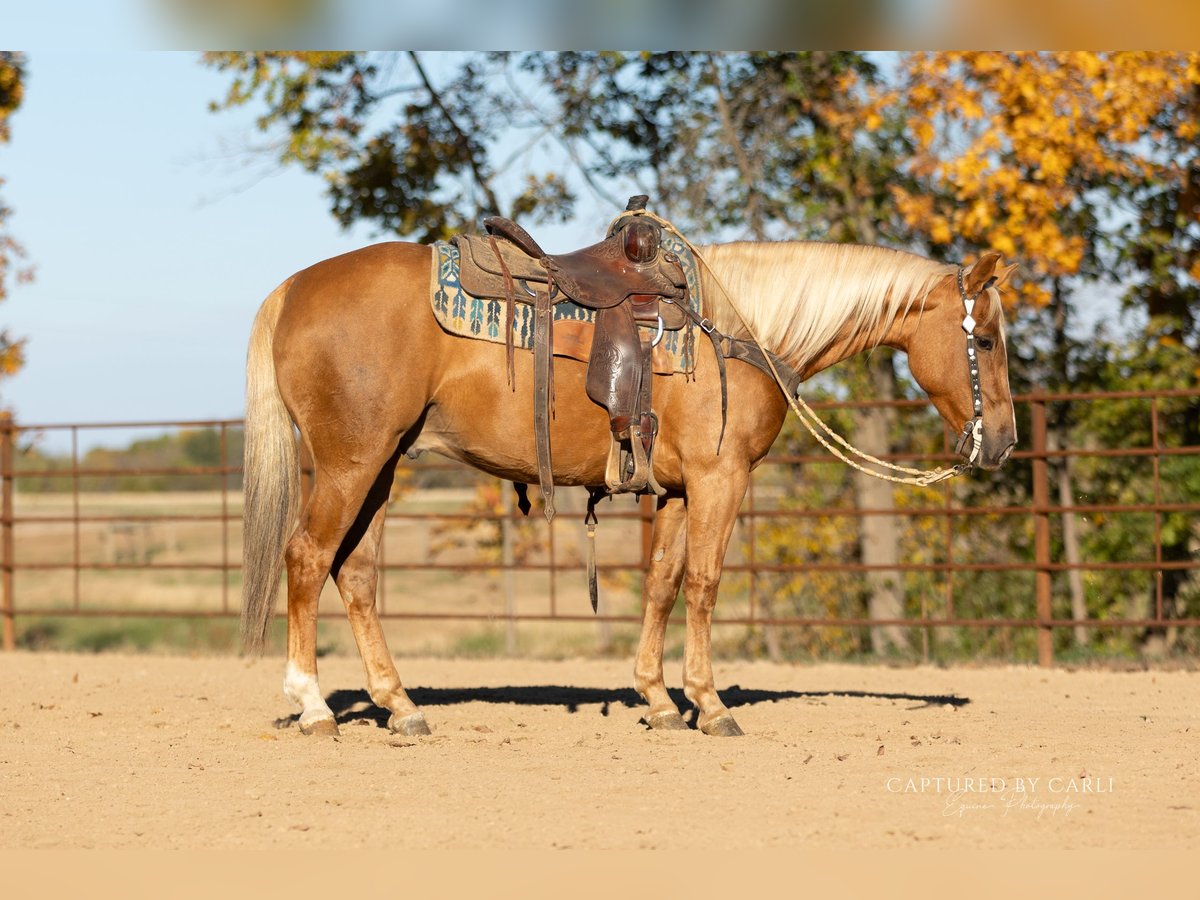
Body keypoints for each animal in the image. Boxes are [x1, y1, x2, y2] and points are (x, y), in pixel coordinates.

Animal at [241, 236, 1017, 738]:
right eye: (984, 342)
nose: (1003, 441)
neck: (735, 331)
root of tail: (290, 290)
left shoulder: (676, 491)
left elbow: (663, 582)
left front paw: (660, 700)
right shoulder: (719, 479)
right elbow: (703, 584)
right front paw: (710, 705)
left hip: (380, 466)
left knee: (356, 576)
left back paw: (400, 707)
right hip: (351, 462)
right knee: (308, 559)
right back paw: (313, 706)